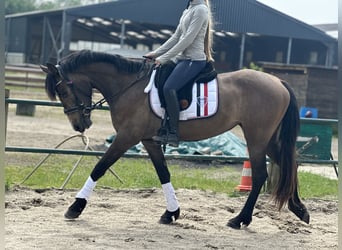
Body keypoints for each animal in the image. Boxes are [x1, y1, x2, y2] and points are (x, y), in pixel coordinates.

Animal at [40, 49, 310, 229]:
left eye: (63, 90)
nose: (79, 125)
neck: (129, 87)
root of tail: (278, 81)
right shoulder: (148, 140)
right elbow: (163, 173)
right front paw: (171, 213)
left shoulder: (127, 137)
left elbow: (99, 167)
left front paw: (75, 207)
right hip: (269, 139)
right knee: (290, 165)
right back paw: (300, 210)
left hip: (256, 138)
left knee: (261, 175)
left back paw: (239, 219)